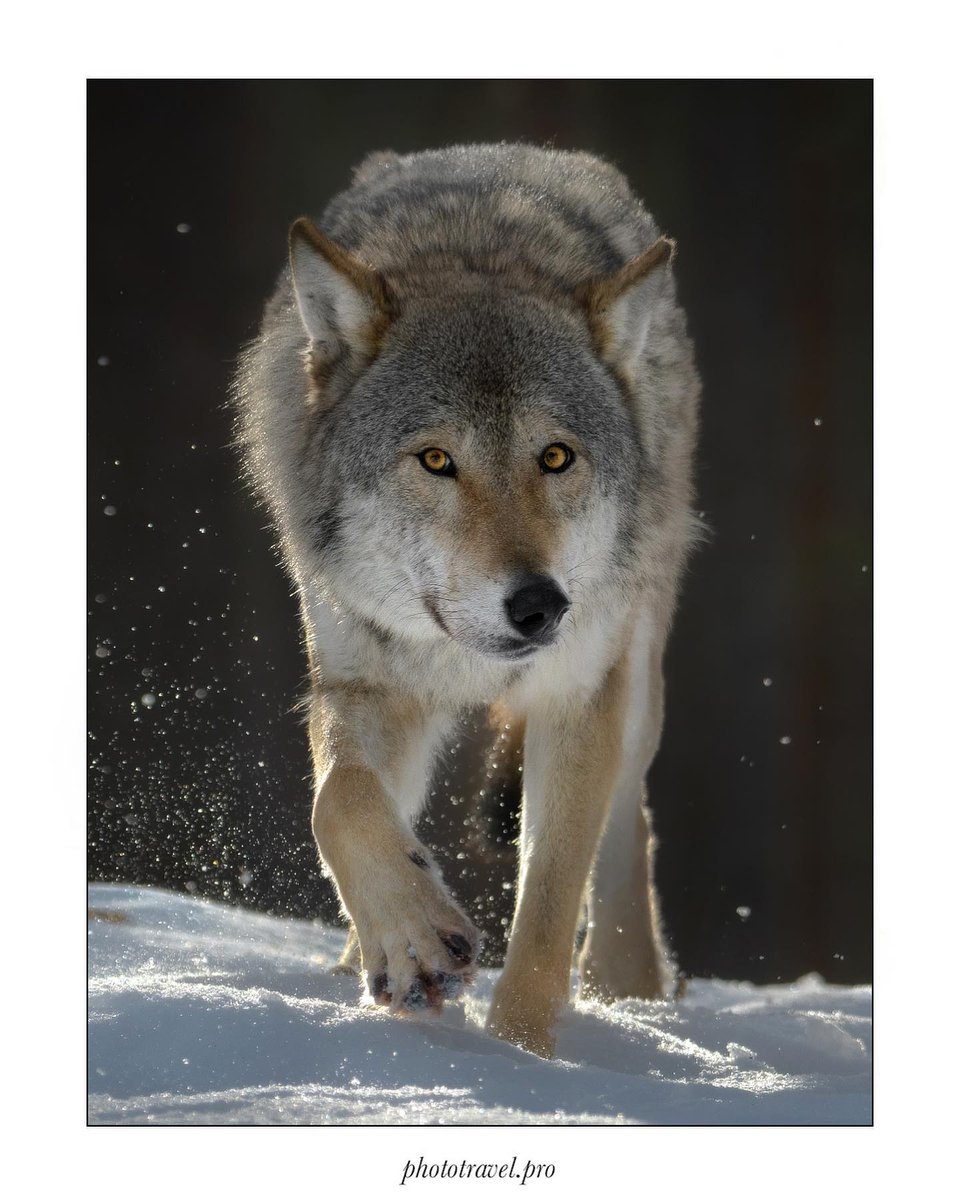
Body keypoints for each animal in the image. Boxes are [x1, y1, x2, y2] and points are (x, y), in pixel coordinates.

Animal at [234, 143, 700, 1057]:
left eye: (555, 456)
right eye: (436, 461)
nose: (539, 606)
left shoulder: (575, 695)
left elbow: (549, 902)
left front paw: (521, 1057)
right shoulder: (361, 676)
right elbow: (338, 804)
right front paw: (411, 941)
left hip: (635, 671)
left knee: (628, 824)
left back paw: (630, 996)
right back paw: (361, 963)